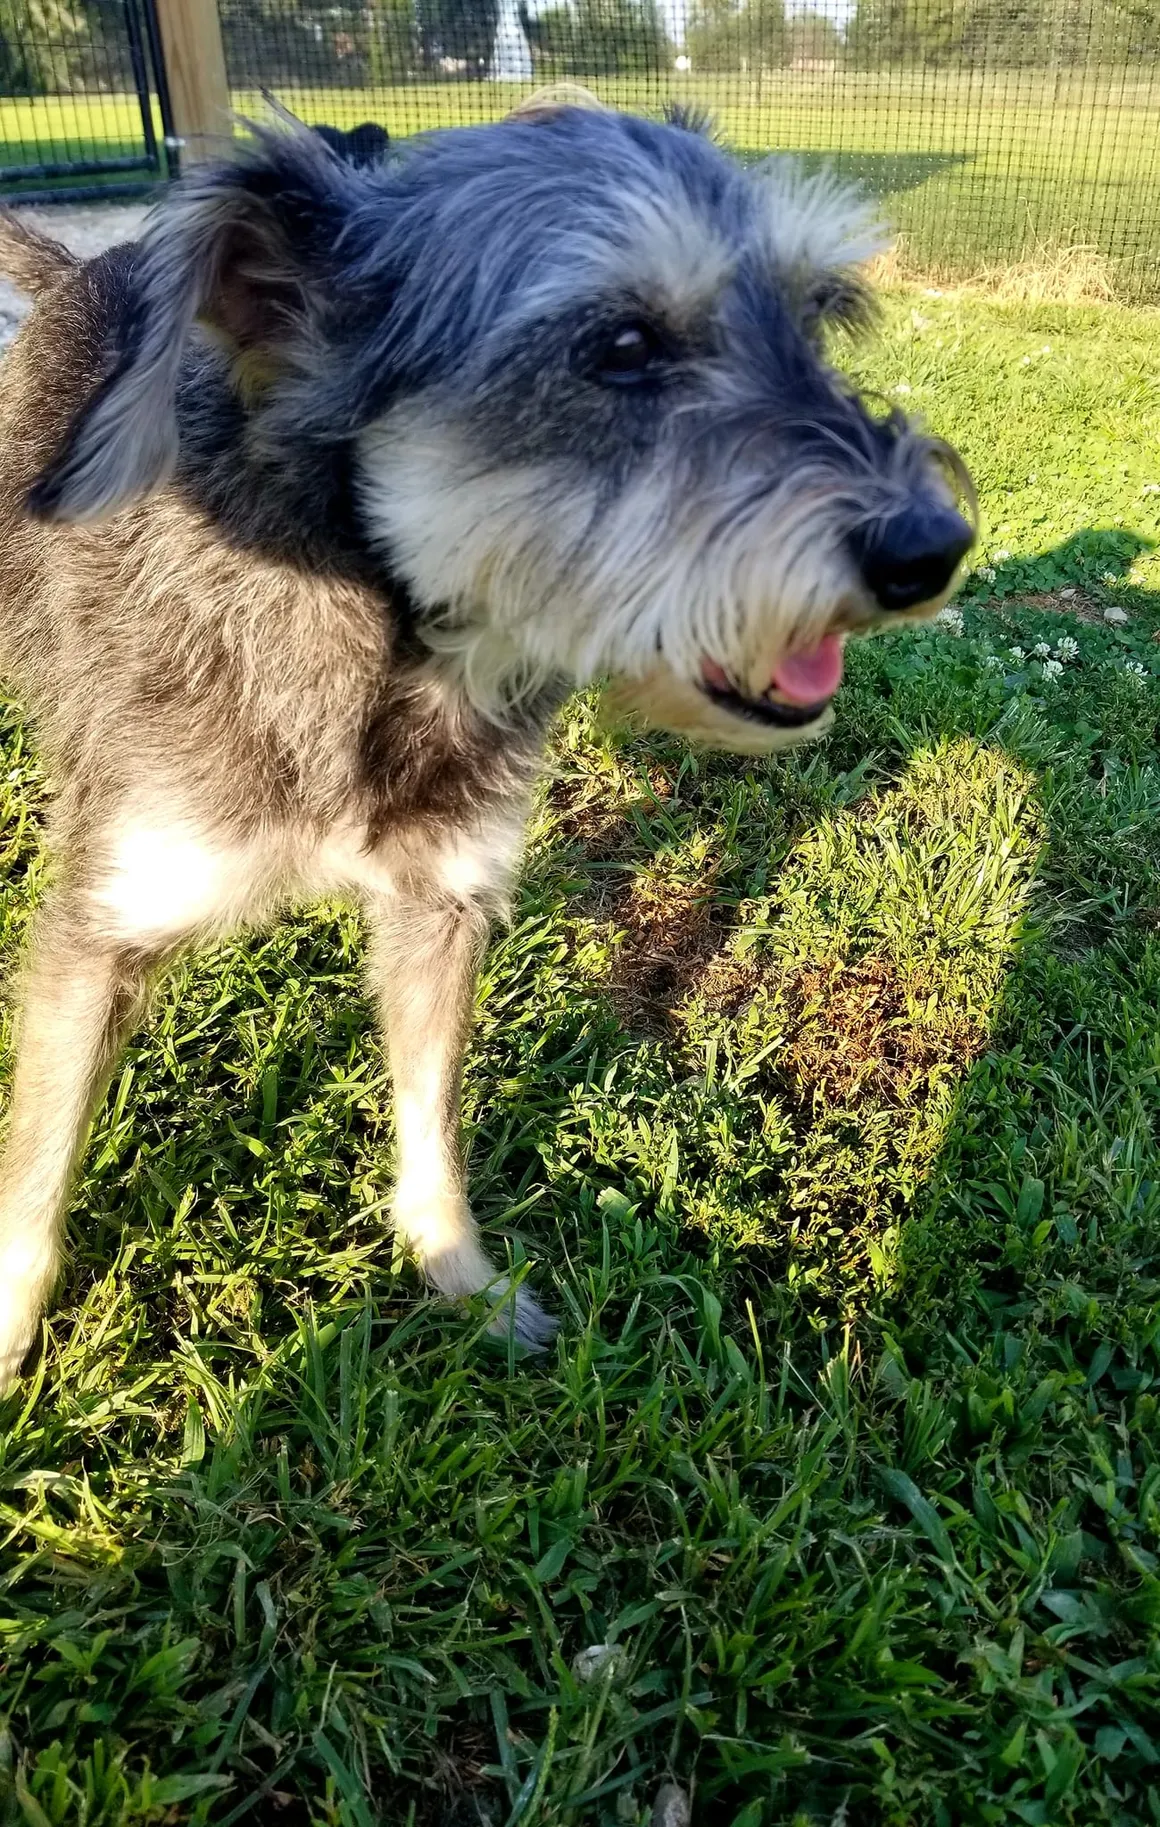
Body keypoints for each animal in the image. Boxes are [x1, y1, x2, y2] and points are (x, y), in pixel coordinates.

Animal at [0, 100, 979, 1381]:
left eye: (815, 311)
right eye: (621, 346)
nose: (933, 547)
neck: (381, 651)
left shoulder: (442, 906)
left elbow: (432, 1121)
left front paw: (459, 1276)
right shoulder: (97, 933)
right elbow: (36, 1168)